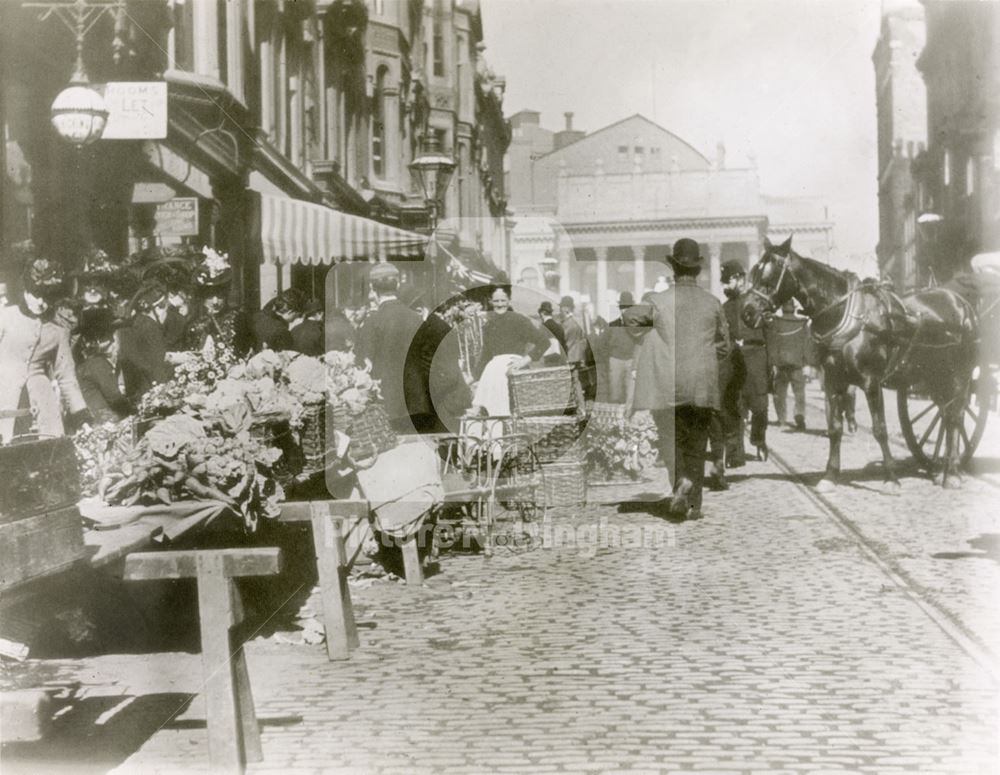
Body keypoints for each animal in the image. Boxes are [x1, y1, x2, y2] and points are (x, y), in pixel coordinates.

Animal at [744, 238, 976, 492]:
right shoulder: (833, 380)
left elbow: (880, 429)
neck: (846, 315)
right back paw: (941, 470)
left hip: (959, 375)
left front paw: (891, 478)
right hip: (934, 375)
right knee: (947, 416)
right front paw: (830, 475)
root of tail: (961, 302)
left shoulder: (871, 382)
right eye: (755, 271)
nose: (747, 312)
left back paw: (951, 473)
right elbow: (835, 428)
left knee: (955, 417)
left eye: (771, 273)